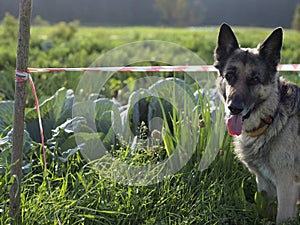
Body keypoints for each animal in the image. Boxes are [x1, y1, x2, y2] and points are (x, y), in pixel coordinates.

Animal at [214, 23, 300, 223]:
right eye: (230, 76)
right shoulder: (265, 185)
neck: (273, 118)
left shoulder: (287, 186)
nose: (234, 108)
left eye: (254, 79)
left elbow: (281, 218)